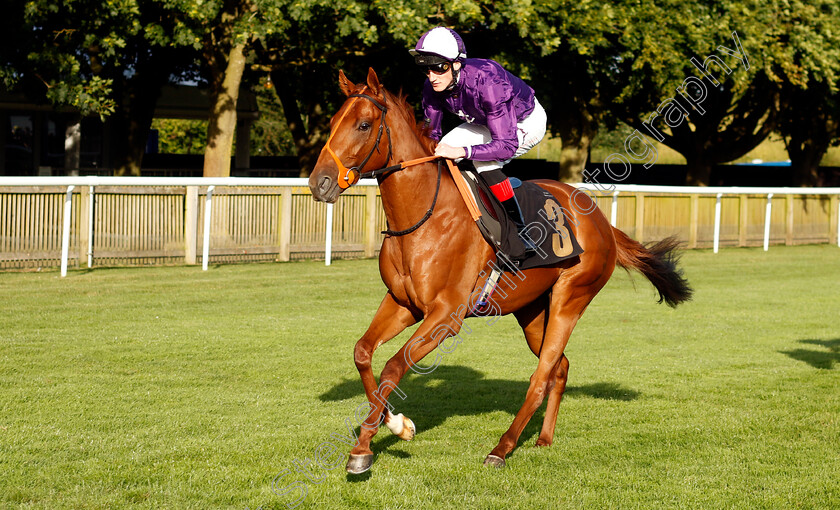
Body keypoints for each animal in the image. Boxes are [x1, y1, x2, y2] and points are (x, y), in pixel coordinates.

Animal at [308, 67, 688, 474]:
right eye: (332, 122)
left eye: (364, 124)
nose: (319, 183)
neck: (424, 217)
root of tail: (602, 221)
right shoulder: (402, 303)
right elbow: (363, 353)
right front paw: (386, 428)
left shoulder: (446, 316)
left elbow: (394, 367)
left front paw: (378, 439)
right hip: (532, 310)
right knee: (560, 367)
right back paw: (543, 438)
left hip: (570, 300)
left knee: (540, 376)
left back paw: (502, 448)